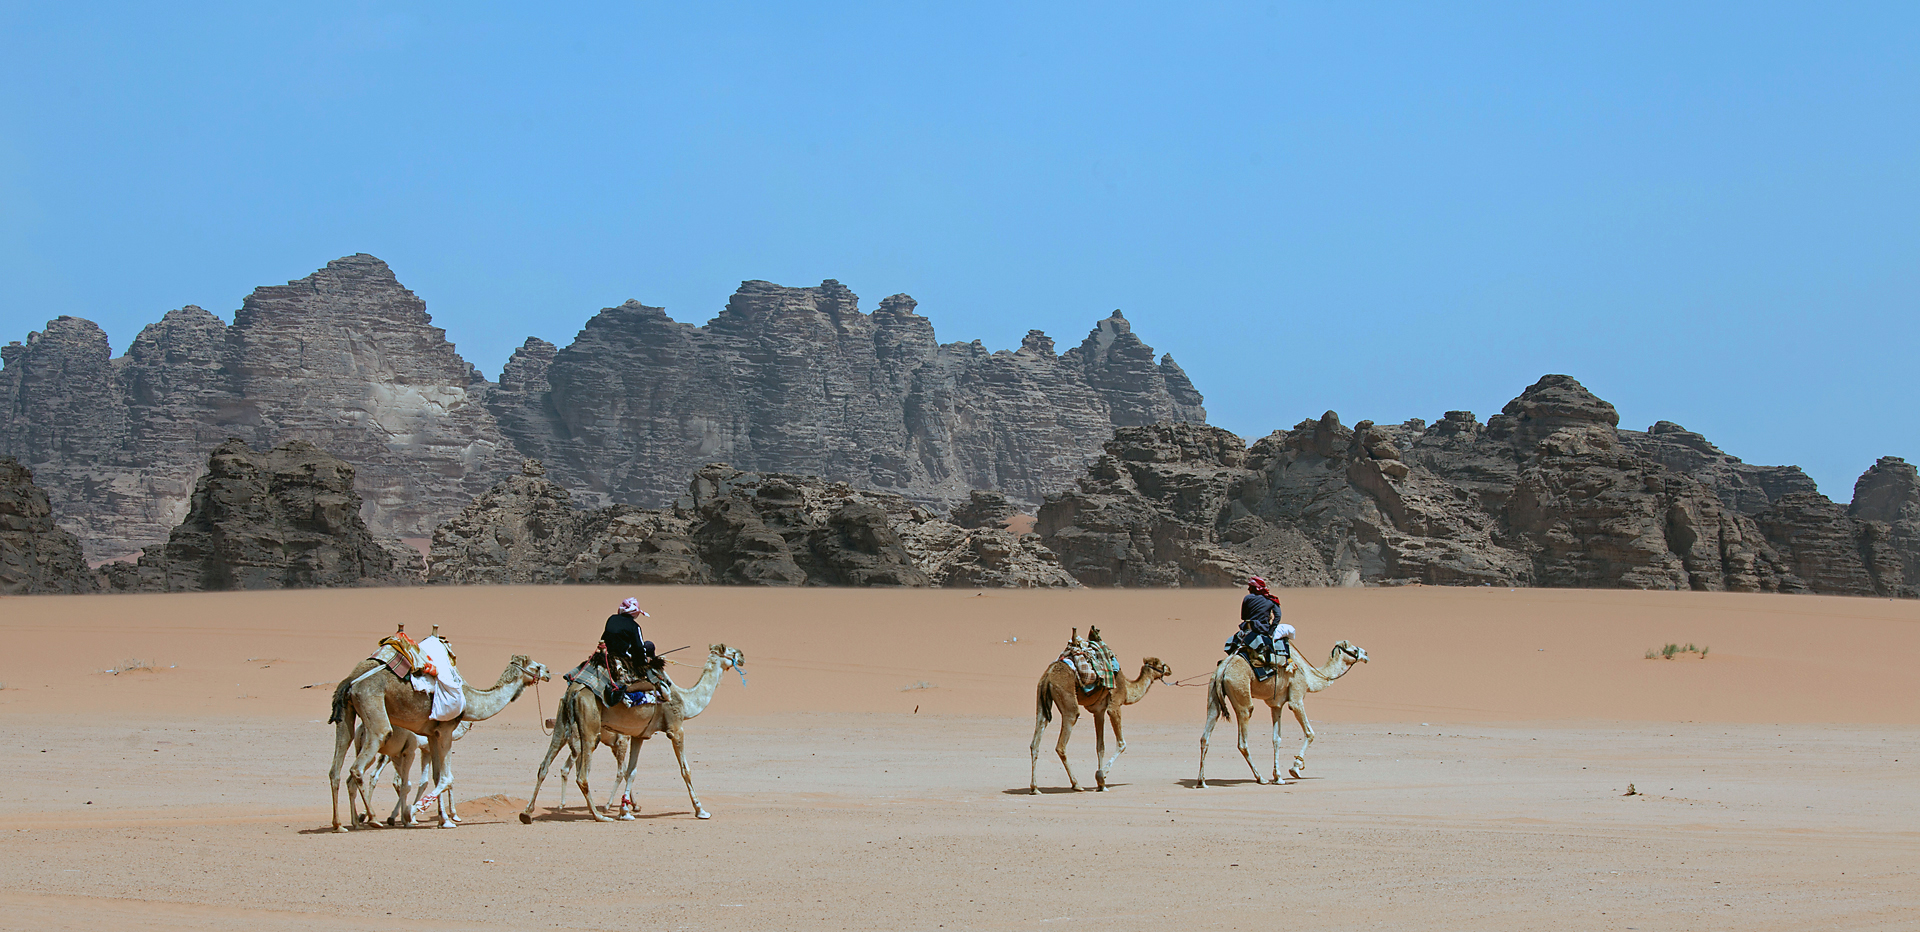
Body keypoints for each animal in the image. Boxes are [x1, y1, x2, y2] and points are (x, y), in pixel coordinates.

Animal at [328, 653, 552, 830]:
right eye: (535, 666)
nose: (548, 672)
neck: (470, 700)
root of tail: (352, 680)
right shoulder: (444, 731)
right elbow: (446, 778)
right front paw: (414, 812)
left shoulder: (431, 735)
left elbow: (436, 777)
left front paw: (443, 819)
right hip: (373, 710)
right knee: (360, 765)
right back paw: (373, 818)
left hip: (349, 714)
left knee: (337, 766)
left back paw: (342, 824)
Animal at [518, 637, 741, 822]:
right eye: (731, 652)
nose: (743, 655)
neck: (686, 701)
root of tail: (575, 691)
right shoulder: (676, 728)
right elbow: (685, 770)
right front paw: (700, 810)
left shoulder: (639, 735)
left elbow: (631, 771)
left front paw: (625, 811)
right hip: (589, 728)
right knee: (582, 775)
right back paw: (599, 816)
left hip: (562, 724)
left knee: (544, 766)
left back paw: (527, 813)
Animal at [1029, 649, 1175, 787]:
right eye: (1161, 664)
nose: (1170, 669)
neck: (1127, 689)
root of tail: (1049, 675)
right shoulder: (1114, 705)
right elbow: (1122, 744)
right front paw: (1101, 775)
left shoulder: (1099, 712)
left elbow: (1100, 747)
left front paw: (1101, 785)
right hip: (1067, 700)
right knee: (1062, 743)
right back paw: (1076, 785)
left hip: (1041, 696)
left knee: (1036, 740)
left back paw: (1035, 788)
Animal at [1190, 634, 1374, 780]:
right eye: (1353, 648)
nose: (1366, 654)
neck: (1310, 676)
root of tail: (1224, 667)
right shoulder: (1296, 698)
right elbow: (1310, 733)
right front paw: (1295, 769)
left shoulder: (1276, 705)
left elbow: (1276, 739)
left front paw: (1278, 776)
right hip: (1241, 694)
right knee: (1243, 738)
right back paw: (1260, 778)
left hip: (1213, 694)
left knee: (1206, 733)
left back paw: (1202, 781)